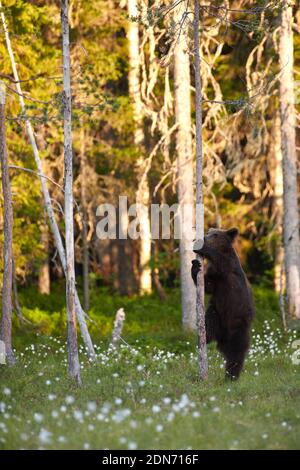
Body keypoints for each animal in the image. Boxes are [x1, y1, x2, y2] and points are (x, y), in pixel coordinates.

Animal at [192, 226, 253, 380]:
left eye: (215, 234)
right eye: (208, 232)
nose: (204, 236)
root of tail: (222, 340)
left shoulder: (227, 267)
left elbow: (221, 262)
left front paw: (200, 246)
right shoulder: (216, 278)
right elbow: (209, 285)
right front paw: (195, 266)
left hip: (238, 326)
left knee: (236, 355)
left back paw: (231, 377)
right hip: (217, 314)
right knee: (210, 320)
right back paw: (204, 337)